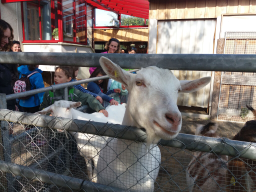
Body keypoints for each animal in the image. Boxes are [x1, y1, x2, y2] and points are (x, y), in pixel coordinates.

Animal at [38, 56, 210, 191]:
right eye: (139, 82)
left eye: (178, 90)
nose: (174, 119)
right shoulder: (87, 155)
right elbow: (89, 170)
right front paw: (91, 178)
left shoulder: (97, 153)